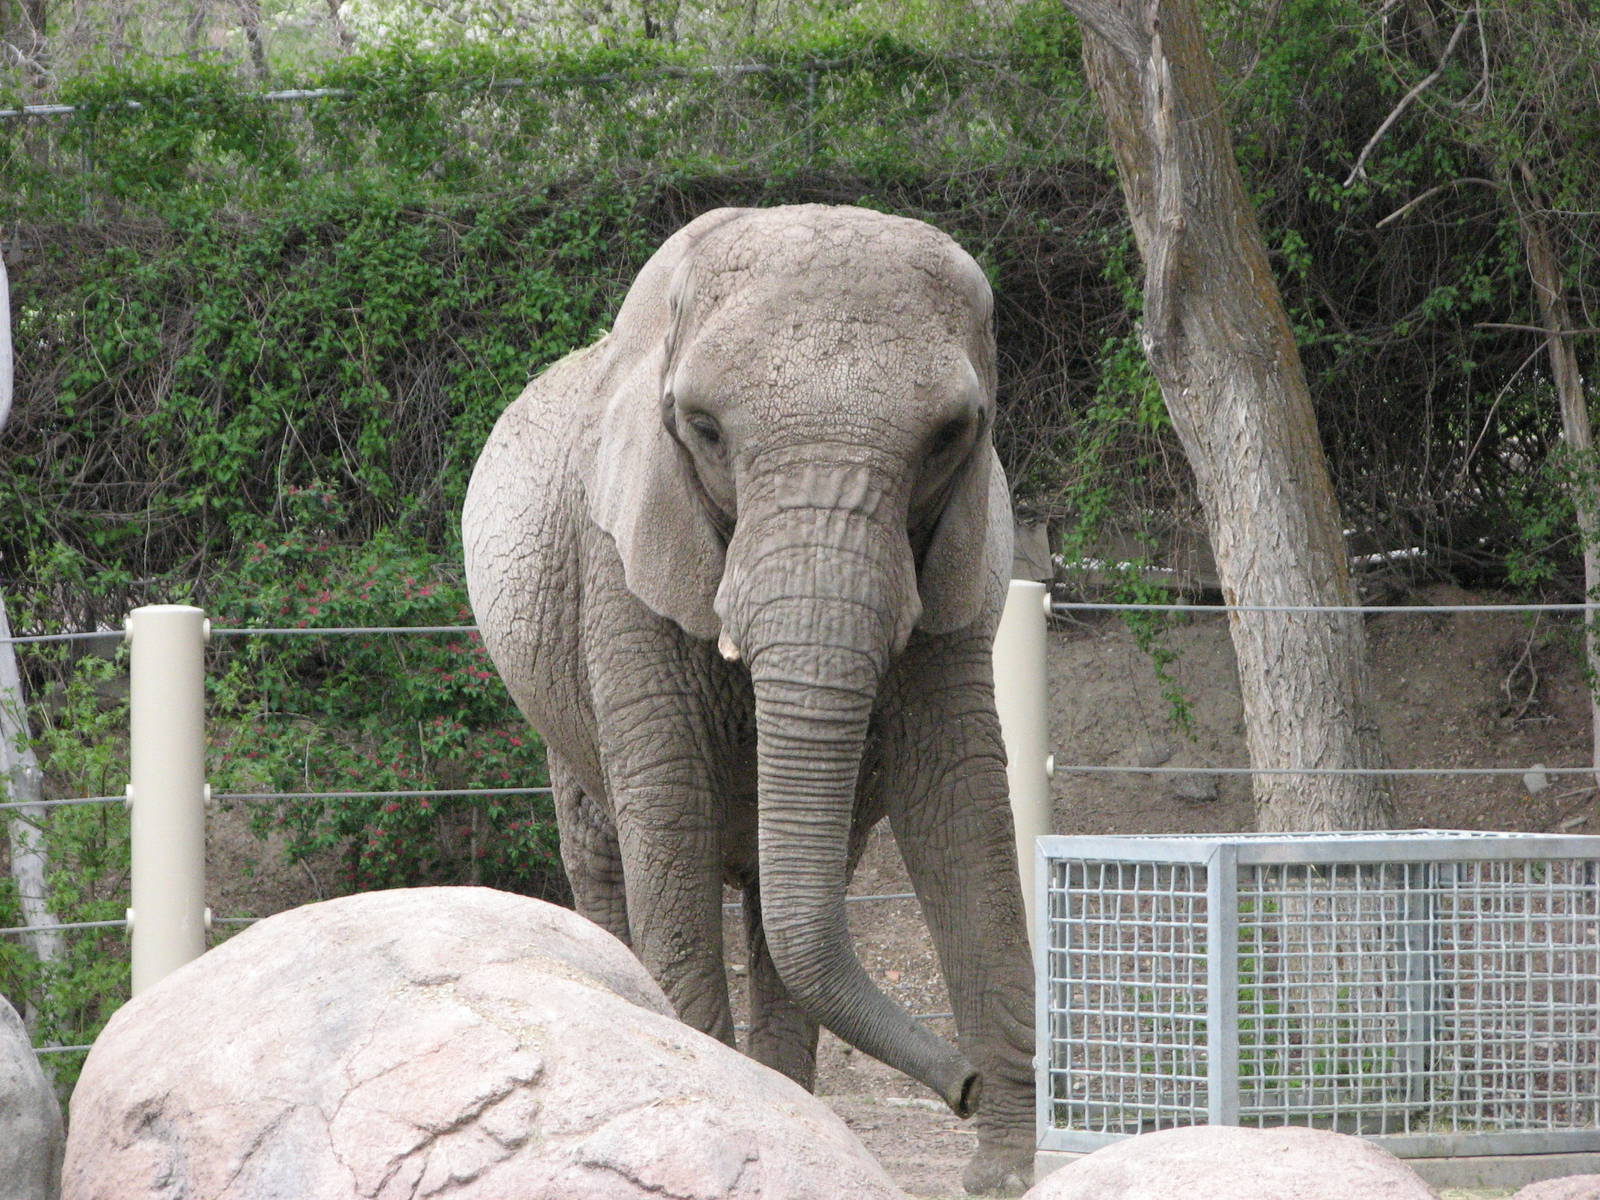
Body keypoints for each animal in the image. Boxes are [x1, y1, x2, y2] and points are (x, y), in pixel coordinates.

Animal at [462, 204, 1035, 1194]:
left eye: (950, 436)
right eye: (703, 429)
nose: (959, 1090)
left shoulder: (960, 565)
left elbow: (958, 805)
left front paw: (1002, 1175)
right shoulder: (619, 564)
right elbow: (671, 813)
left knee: (789, 898)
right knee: (604, 850)